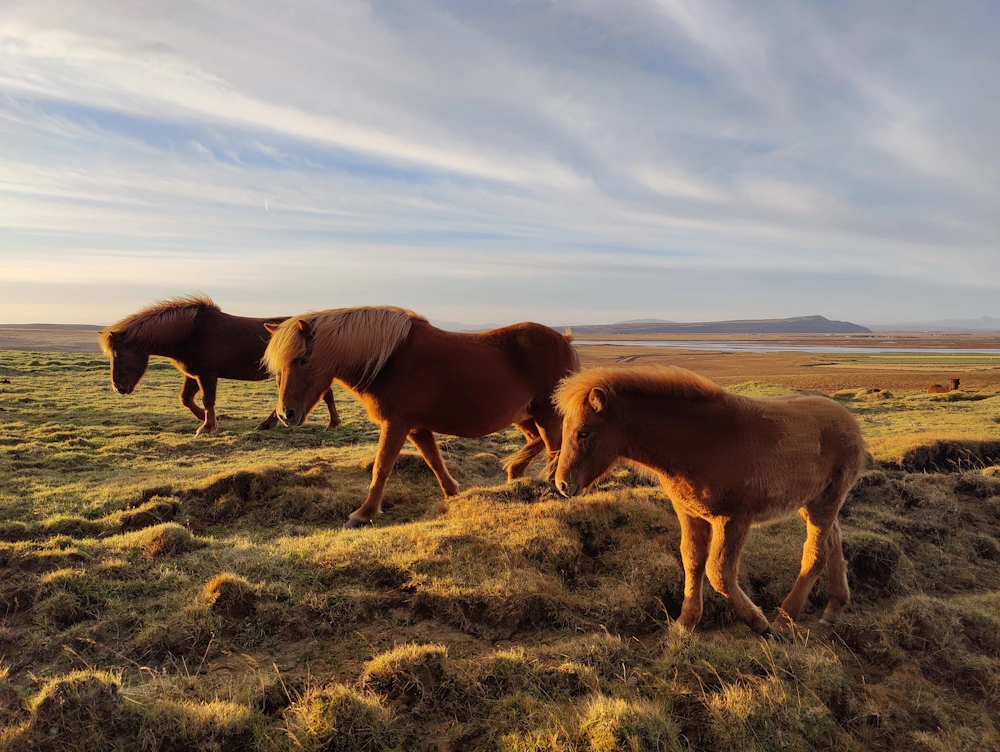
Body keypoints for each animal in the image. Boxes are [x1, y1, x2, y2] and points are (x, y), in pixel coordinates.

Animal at [100, 296, 338, 435]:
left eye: (120, 354)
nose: (118, 388)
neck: (190, 332)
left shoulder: (207, 374)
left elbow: (208, 399)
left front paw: (207, 427)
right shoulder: (194, 375)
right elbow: (186, 398)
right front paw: (206, 419)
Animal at [262, 306, 579, 528]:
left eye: (303, 360)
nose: (286, 414)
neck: (388, 361)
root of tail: (565, 340)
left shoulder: (396, 425)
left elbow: (381, 468)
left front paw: (363, 514)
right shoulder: (416, 428)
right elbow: (434, 461)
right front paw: (453, 494)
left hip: (546, 416)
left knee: (555, 450)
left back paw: (549, 487)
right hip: (524, 417)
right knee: (538, 443)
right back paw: (515, 475)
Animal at [553, 365, 866, 639]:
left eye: (583, 432)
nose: (563, 484)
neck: (700, 442)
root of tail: (851, 423)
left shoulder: (733, 520)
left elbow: (719, 573)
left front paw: (759, 624)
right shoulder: (690, 513)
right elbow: (692, 561)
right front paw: (685, 623)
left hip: (825, 501)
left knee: (816, 554)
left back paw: (784, 623)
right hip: (808, 503)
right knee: (833, 540)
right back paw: (833, 608)